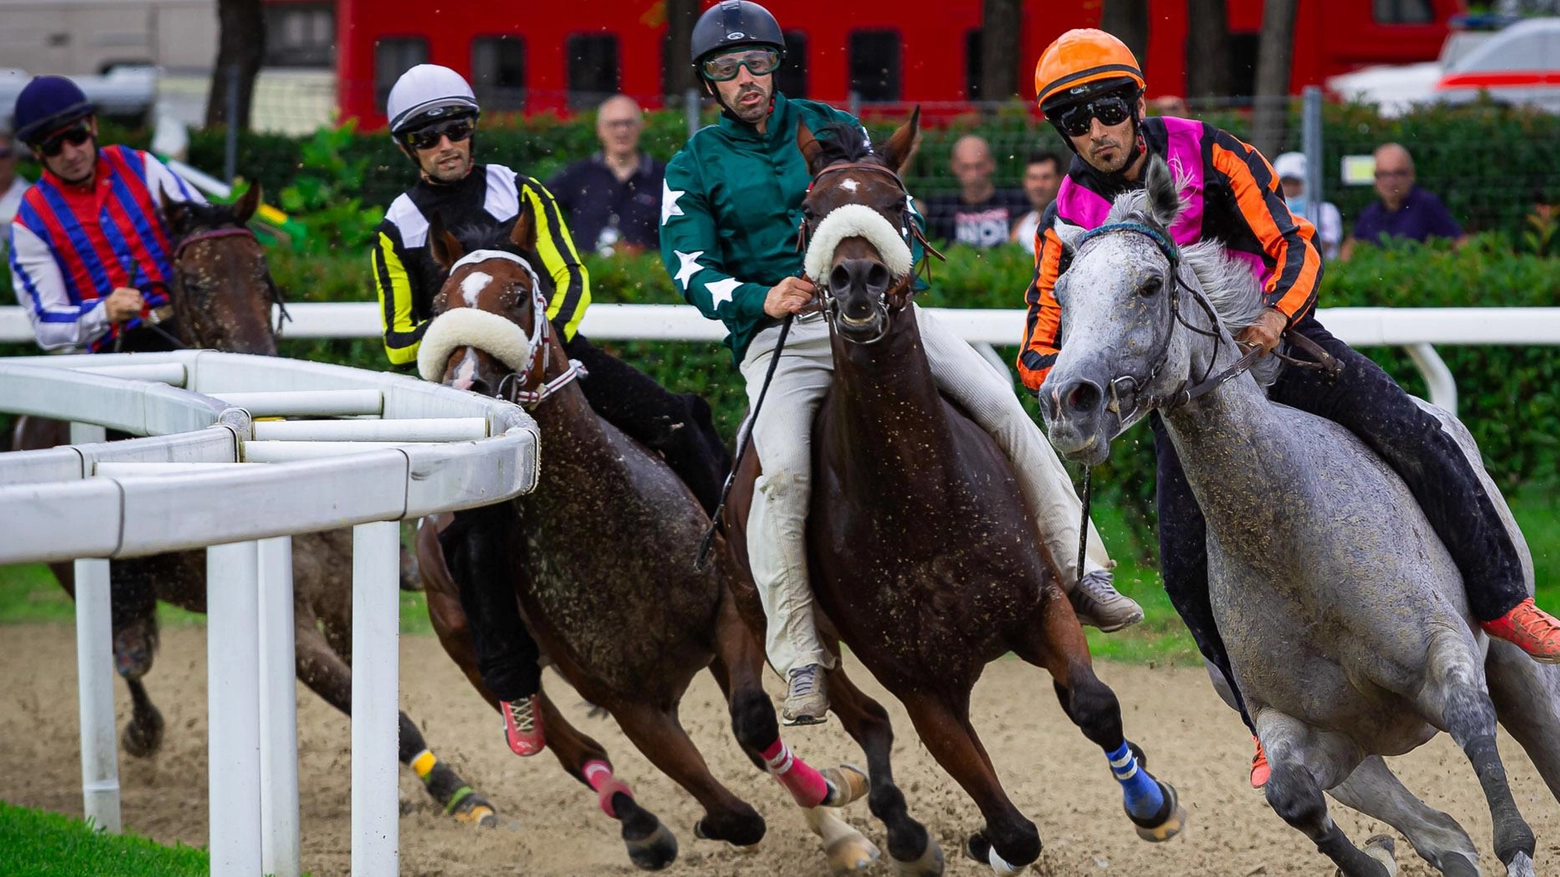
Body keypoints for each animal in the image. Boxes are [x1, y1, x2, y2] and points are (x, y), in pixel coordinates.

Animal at [9, 184, 496, 817]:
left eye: (263, 272)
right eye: (194, 283)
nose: (253, 357)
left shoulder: (346, 599)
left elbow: (381, 702)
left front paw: (451, 789)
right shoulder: (294, 629)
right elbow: (381, 714)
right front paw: (455, 793)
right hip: (77, 570)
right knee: (122, 649)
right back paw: (142, 723)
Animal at [414, 207, 879, 867]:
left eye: (517, 294)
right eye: (438, 304)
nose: (466, 387)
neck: (611, 538)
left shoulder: (726, 617)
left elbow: (755, 723)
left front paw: (838, 800)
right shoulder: (627, 701)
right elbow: (734, 813)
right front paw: (702, 824)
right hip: (463, 642)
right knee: (576, 749)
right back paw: (636, 822)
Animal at [723, 112, 1185, 867]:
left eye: (895, 203)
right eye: (810, 213)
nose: (856, 277)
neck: (921, 504)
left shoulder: (1041, 604)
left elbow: (1093, 703)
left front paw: (1151, 803)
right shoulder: (923, 685)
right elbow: (1013, 828)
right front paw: (982, 840)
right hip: (771, 608)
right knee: (840, 701)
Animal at [1035, 153, 1560, 867]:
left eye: (1148, 284)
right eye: (1062, 293)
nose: (1069, 402)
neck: (1292, 544)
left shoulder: (1447, 661)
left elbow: (1505, 812)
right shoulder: (1296, 727)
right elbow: (1292, 797)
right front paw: (1374, 859)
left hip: (1519, 665)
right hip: (1363, 761)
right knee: (1441, 833)